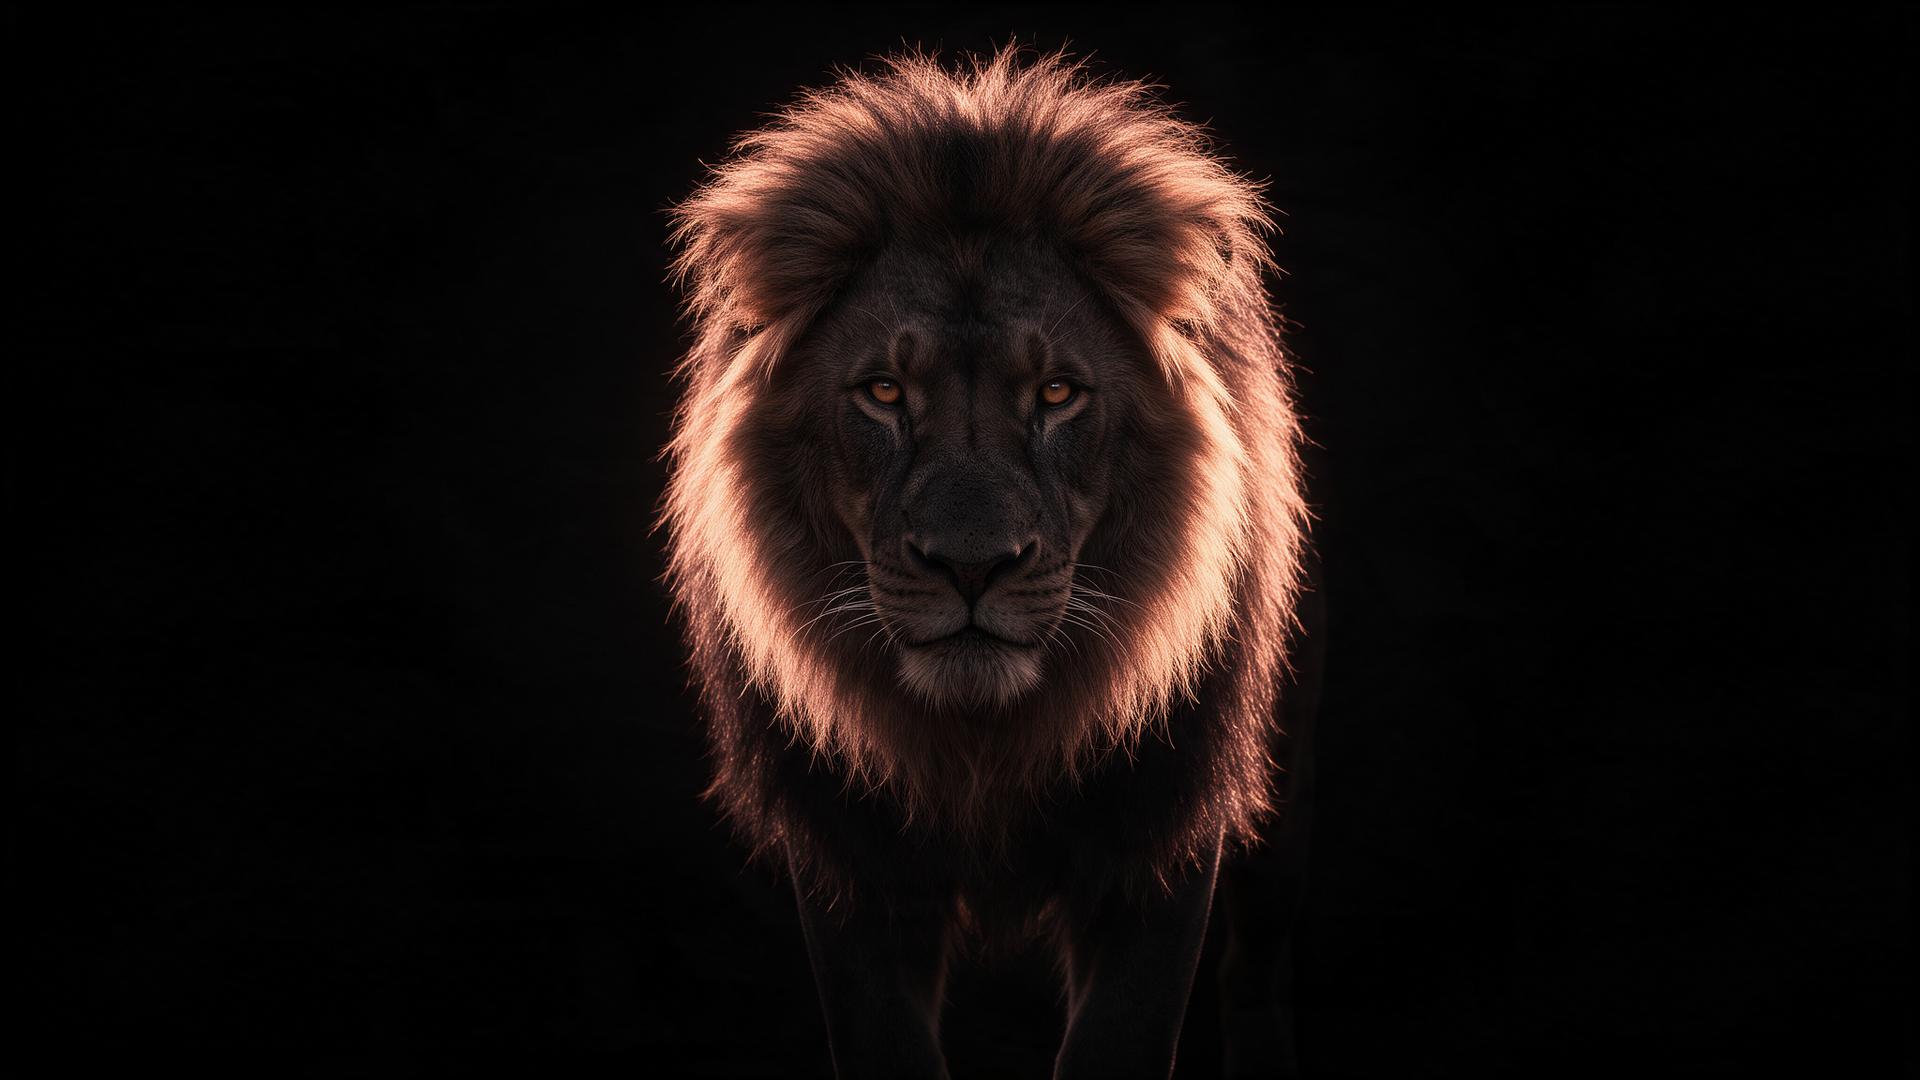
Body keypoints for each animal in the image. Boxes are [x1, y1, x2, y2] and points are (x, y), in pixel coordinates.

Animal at [661, 47, 1319, 1078]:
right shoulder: (849, 866)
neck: (985, 746)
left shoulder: (1164, 840)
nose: (972, 568)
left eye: (1056, 394)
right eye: (884, 392)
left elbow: (1122, 1036)